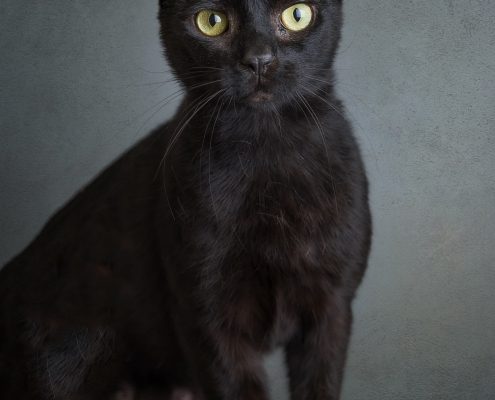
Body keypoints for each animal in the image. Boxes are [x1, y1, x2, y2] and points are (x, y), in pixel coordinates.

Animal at [0, 0, 372, 400]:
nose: (258, 59)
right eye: (212, 22)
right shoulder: (208, 318)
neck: (267, 155)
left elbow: (320, 385)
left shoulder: (332, 307)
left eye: (297, 14)